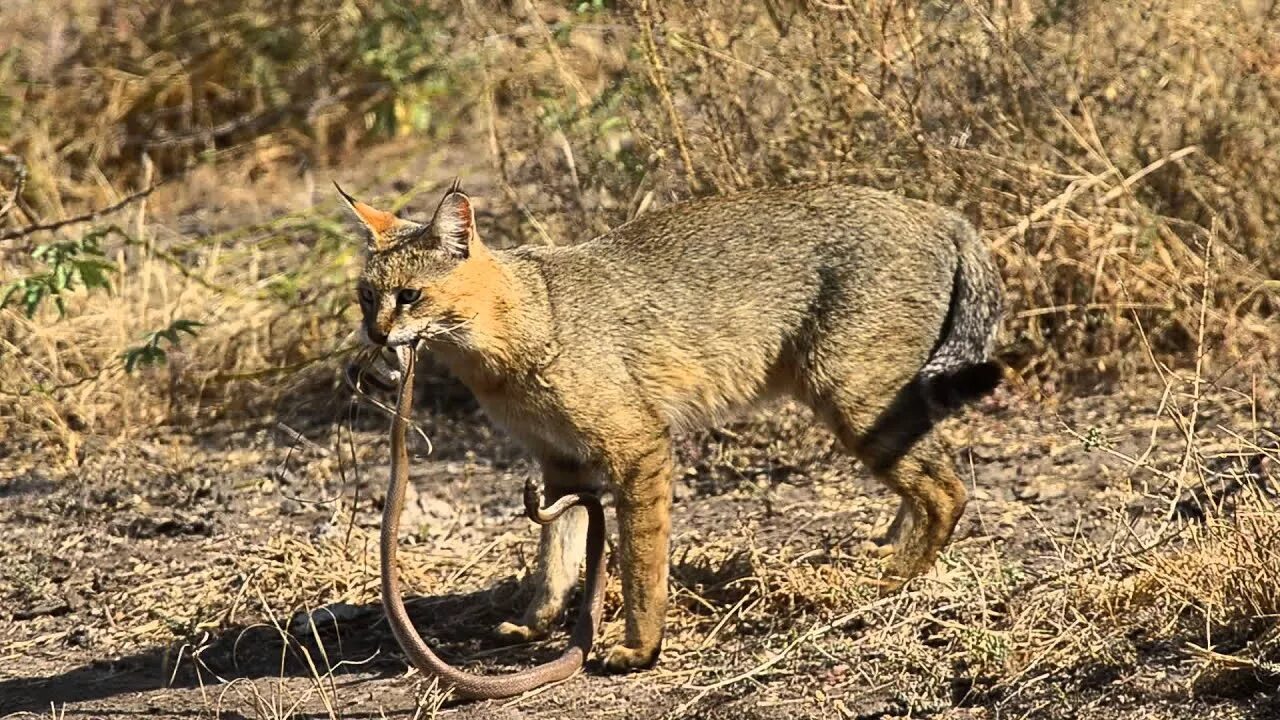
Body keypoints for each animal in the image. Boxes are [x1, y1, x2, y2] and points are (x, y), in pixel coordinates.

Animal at [337, 180, 998, 671]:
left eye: (410, 296)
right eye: (366, 297)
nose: (374, 334)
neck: (522, 326)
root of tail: (935, 210)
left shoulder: (639, 448)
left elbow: (639, 561)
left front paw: (639, 646)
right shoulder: (560, 464)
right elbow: (556, 557)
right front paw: (534, 624)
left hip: (853, 401)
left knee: (948, 490)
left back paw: (895, 579)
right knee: (928, 480)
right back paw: (887, 549)